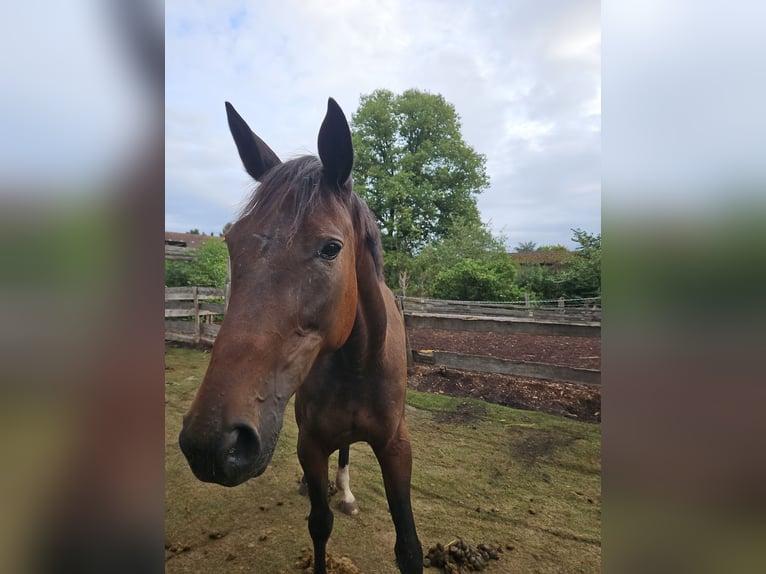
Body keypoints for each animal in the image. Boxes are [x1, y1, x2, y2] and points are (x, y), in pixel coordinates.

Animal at [178, 98, 423, 574]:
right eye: (232, 243)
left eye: (331, 248)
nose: (211, 444)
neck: (356, 364)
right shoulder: (309, 445)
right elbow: (319, 525)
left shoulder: (396, 447)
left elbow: (408, 547)